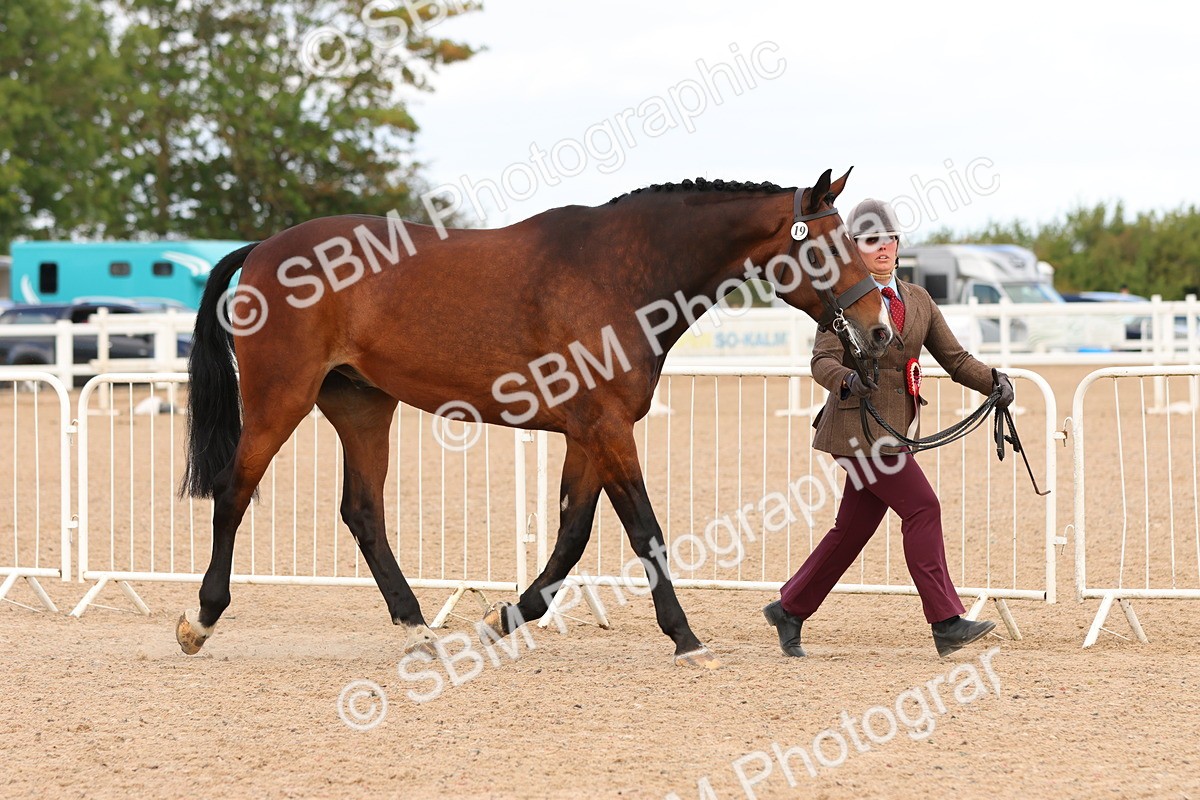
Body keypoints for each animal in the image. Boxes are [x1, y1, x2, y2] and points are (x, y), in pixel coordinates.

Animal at [175, 167, 894, 669]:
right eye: (826, 249)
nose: (879, 331)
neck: (620, 275)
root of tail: (264, 248)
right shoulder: (608, 429)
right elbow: (645, 532)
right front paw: (687, 639)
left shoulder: (588, 433)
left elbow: (572, 535)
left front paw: (506, 618)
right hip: (279, 399)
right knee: (233, 492)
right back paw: (201, 620)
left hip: (362, 406)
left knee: (363, 512)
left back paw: (415, 628)